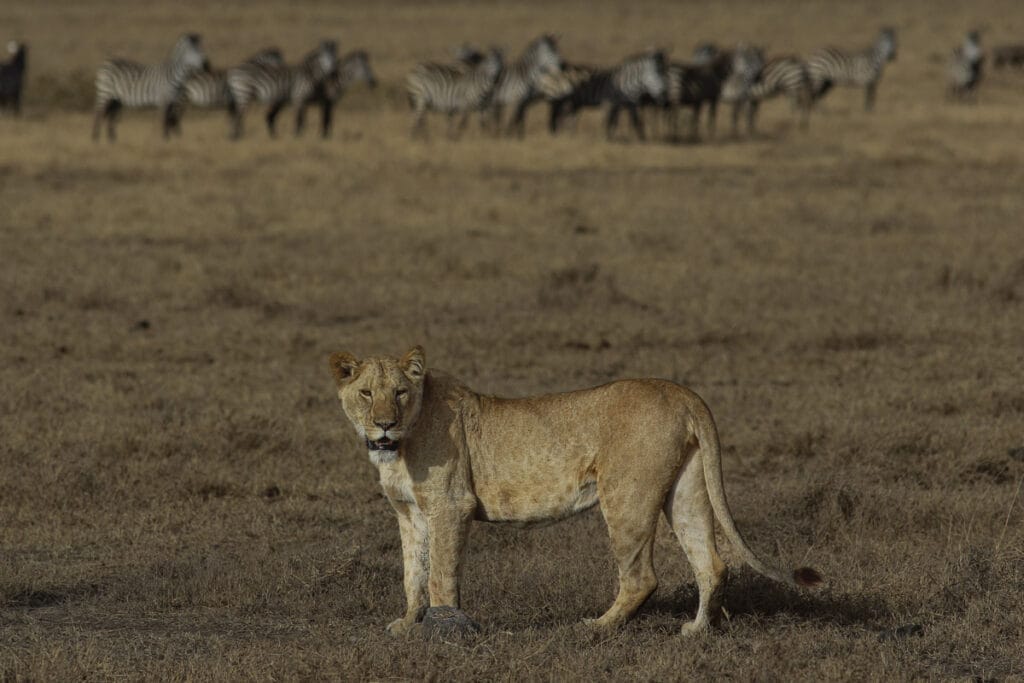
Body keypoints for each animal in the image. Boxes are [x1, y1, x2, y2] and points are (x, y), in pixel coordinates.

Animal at [327, 346, 823, 637]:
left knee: (642, 576)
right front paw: (407, 624)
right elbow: (413, 571)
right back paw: (697, 632)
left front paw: (444, 631)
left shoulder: (452, 505)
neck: (399, 447)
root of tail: (682, 393)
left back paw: (597, 627)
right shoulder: (410, 513)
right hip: (686, 490)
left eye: (400, 392)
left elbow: (440, 574)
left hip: (625, 495)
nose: (384, 424)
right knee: (712, 563)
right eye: (367, 393)